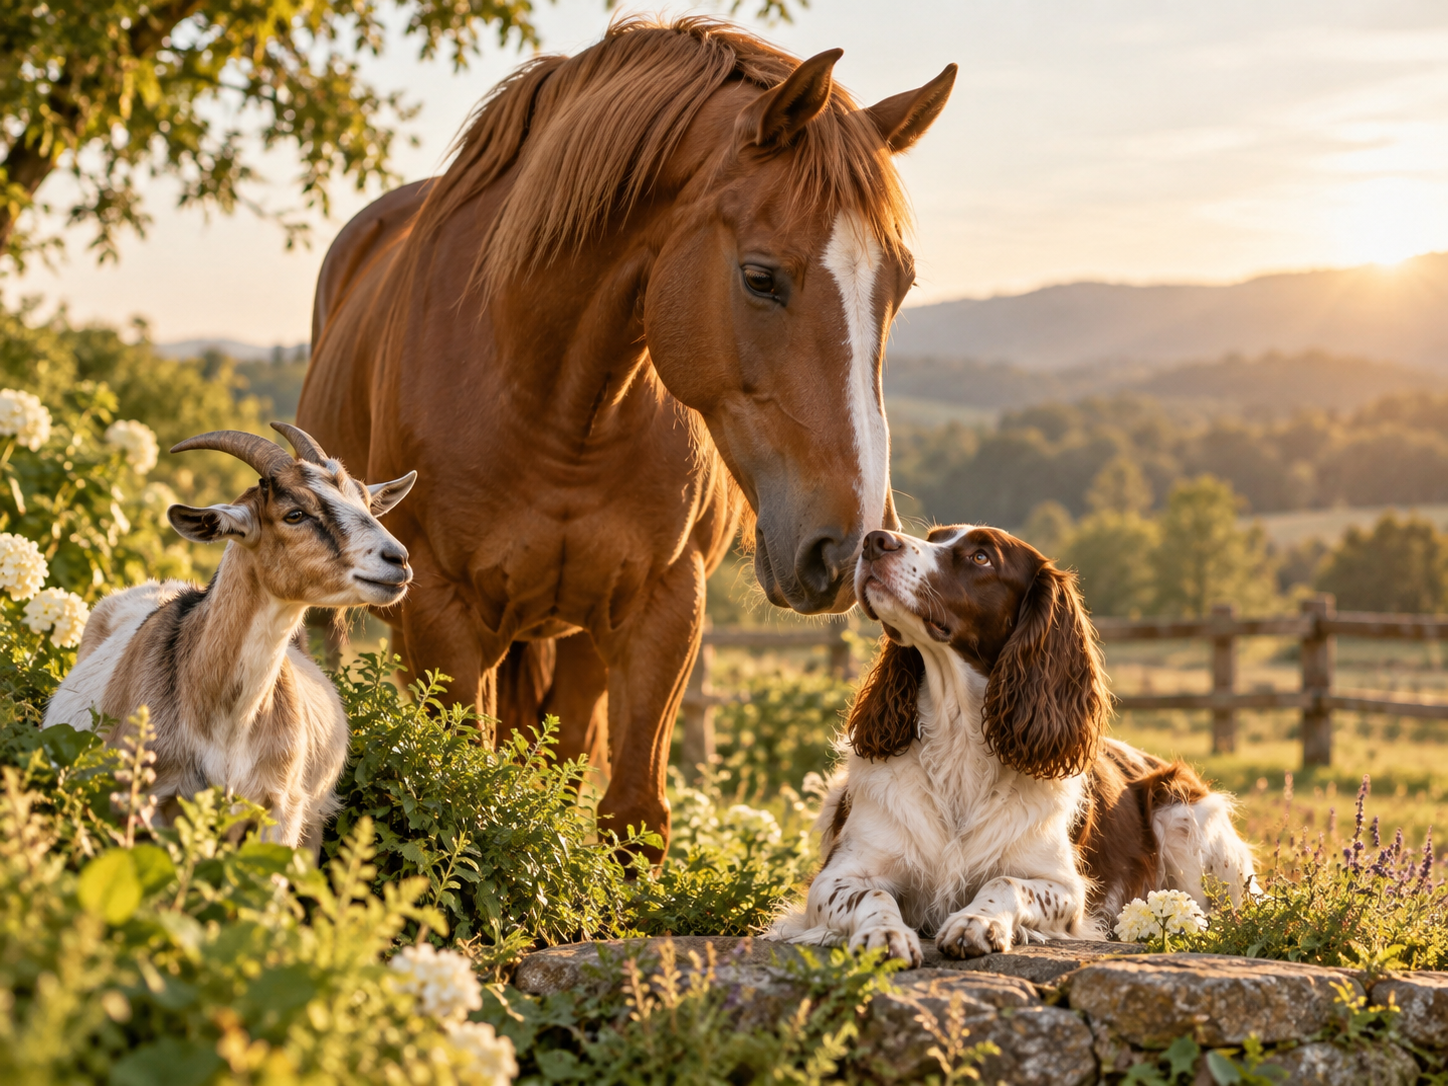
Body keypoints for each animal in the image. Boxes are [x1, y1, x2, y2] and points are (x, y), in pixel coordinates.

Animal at [297, 17, 955, 854]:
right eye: (760, 276)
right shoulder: (442, 614)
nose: (848, 547)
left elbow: (632, 815)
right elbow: (461, 792)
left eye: (898, 286)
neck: (555, 403)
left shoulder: (664, 607)